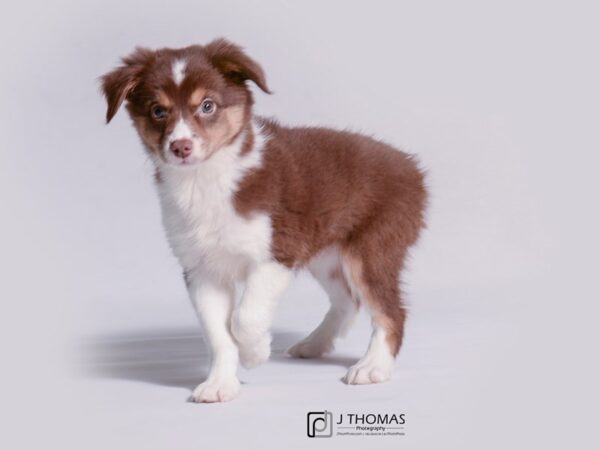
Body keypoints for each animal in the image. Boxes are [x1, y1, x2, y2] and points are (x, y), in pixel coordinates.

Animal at [101, 39, 426, 404]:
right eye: (158, 111)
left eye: (208, 106)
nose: (180, 147)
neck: (207, 179)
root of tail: (412, 168)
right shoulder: (202, 269)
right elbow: (218, 334)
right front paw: (220, 384)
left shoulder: (277, 252)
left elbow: (244, 316)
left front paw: (254, 353)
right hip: (325, 255)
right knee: (348, 300)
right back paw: (314, 344)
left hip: (370, 251)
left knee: (389, 310)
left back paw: (373, 367)